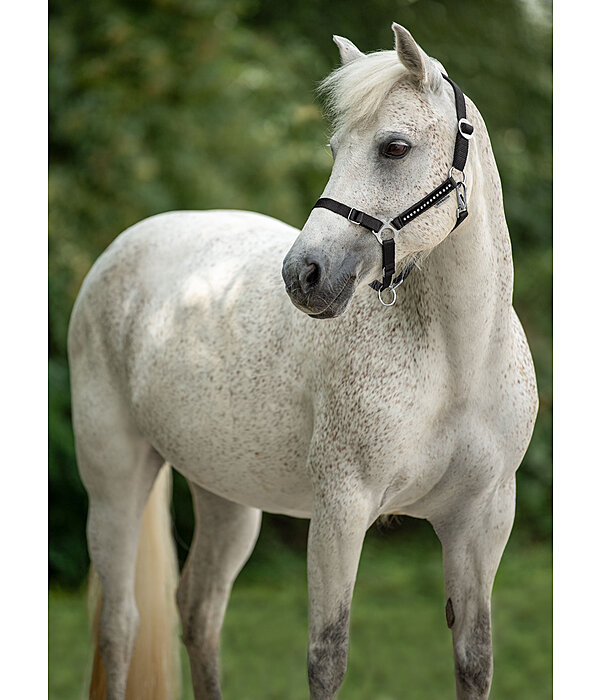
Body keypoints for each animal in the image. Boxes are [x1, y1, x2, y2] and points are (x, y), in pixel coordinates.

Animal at [68, 23, 536, 700]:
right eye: (336, 147)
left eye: (395, 147)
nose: (304, 274)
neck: (458, 365)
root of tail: (125, 246)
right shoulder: (341, 512)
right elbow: (327, 659)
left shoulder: (481, 525)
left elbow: (475, 662)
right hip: (114, 477)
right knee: (120, 624)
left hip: (226, 496)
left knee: (198, 609)